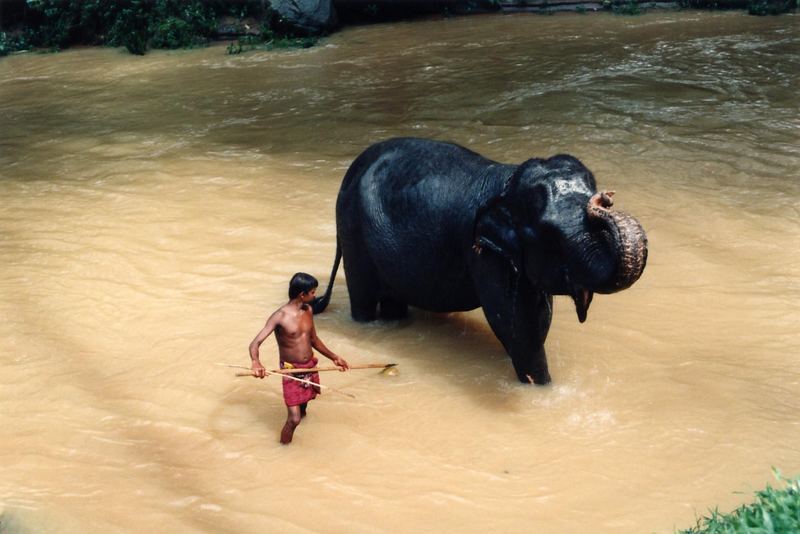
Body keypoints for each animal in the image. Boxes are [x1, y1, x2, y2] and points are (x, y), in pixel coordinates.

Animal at [314, 136, 648, 384]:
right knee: (364, 298)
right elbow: (515, 323)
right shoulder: (485, 254)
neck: (508, 185)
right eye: (550, 235)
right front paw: (540, 386)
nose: (604, 198)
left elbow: (536, 319)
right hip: (353, 229)